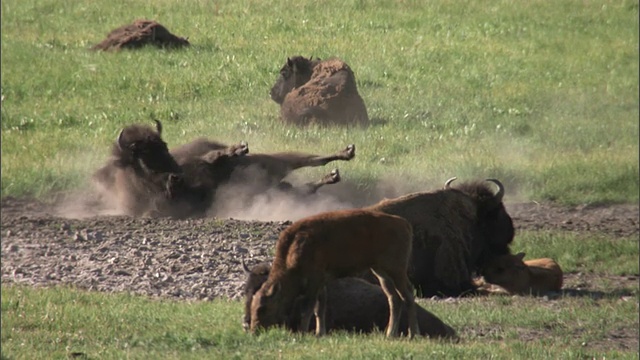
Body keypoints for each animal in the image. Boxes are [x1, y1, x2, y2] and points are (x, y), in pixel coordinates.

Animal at [250, 208, 420, 338]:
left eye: (262, 308)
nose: (253, 330)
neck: (294, 248)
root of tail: (404, 223)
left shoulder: (314, 280)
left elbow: (308, 308)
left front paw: (303, 332)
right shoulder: (321, 283)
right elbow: (319, 309)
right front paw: (320, 333)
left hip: (396, 270)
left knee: (408, 295)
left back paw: (413, 334)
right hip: (381, 272)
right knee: (394, 298)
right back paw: (390, 334)